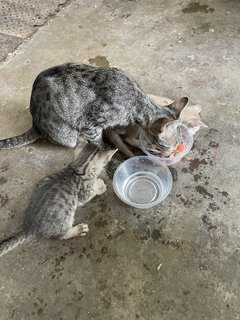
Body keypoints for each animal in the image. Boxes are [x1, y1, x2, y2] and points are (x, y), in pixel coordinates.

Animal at [0, 62, 188, 156]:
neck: (136, 102)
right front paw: (106, 147)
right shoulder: (90, 123)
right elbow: (98, 141)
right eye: (166, 145)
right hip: (67, 134)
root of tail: (35, 124)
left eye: (179, 143)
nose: (173, 153)